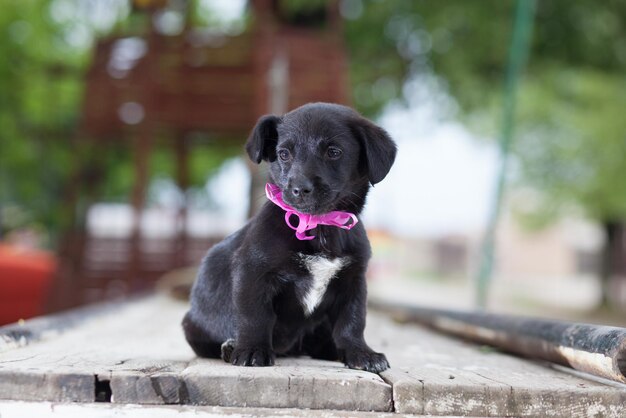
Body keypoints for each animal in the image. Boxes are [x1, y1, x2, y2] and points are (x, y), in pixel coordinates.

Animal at [180, 101, 394, 372]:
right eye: (283, 154)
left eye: (333, 152)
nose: (300, 189)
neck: (318, 227)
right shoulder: (252, 272)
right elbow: (255, 315)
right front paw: (252, 350)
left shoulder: (353, 281)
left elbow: (353, 321)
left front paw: (360, 352)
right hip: (191, 324)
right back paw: (230, 347)